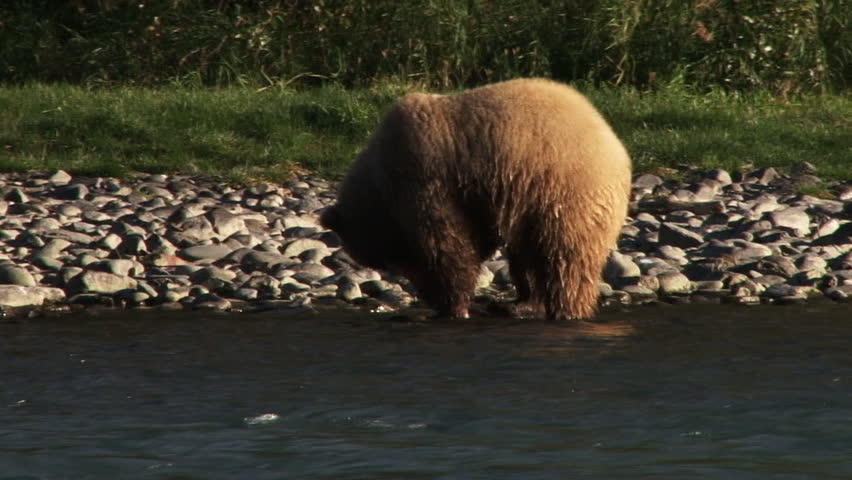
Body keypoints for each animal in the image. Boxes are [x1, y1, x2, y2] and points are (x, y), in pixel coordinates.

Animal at [320, 78, 631, 321]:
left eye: (388, 260)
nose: (421, 292)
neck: (381, 183)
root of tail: (616, 146)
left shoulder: (429, 179)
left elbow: (447, 247)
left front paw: (449, 306)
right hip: (530, 202)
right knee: (526, 252)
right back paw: (520, 304)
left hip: (563, 192)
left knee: (563, 257)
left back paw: (565, 309)